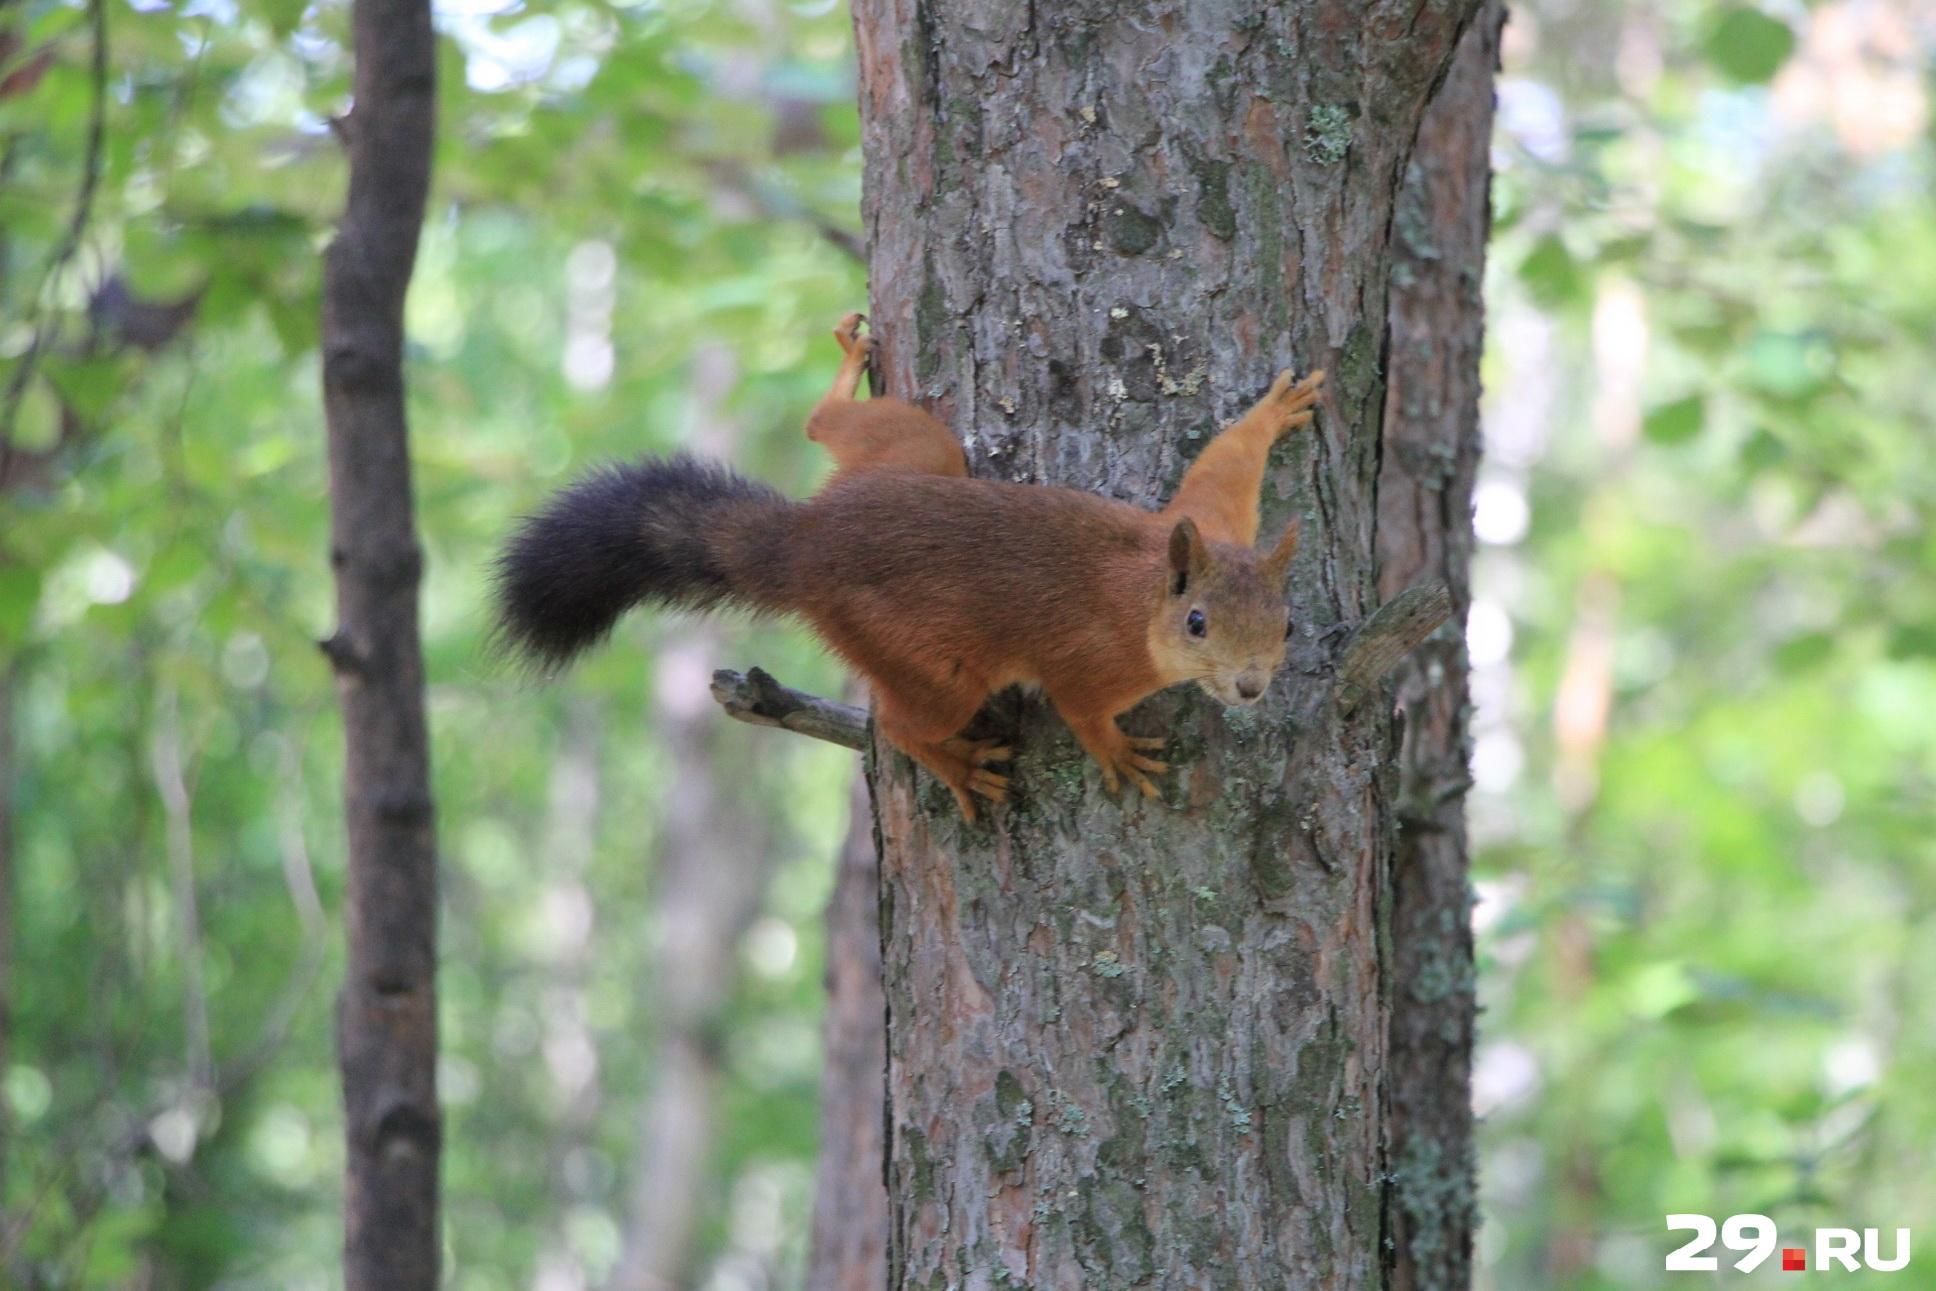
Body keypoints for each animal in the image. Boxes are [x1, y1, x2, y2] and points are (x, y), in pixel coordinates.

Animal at [491, 313, 1324, 816]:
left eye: (1287, 623)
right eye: (1197, 622)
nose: (1251, 687)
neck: (1148, 588)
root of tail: (808, 541)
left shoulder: (1211, 521)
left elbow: (1223, 464)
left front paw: (1273, 413)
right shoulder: (1092, 660)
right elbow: (1081, 708)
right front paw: (1118, 754)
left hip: (914, 453)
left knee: (825, 424)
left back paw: (846, 365)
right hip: (928, 658)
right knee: (897, 722)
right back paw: (957, 766)